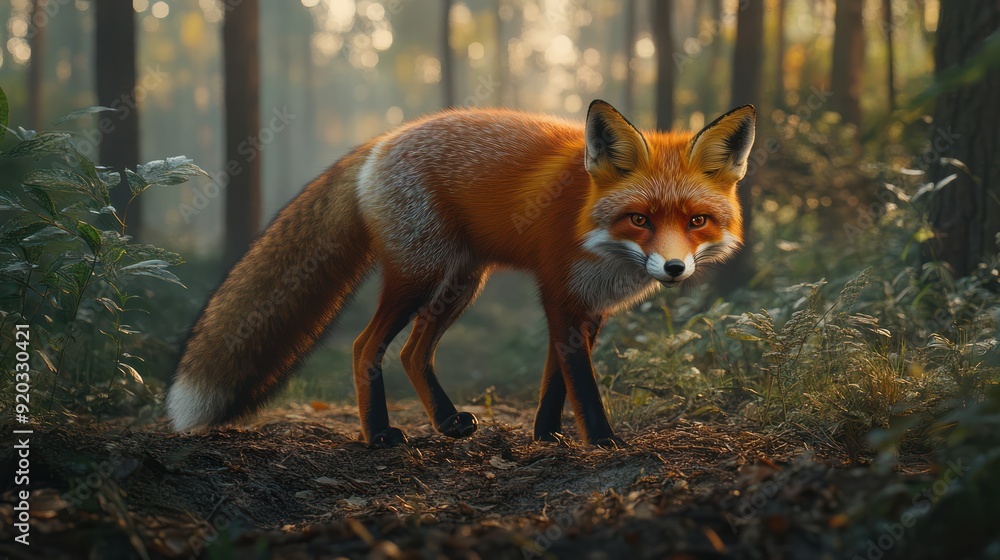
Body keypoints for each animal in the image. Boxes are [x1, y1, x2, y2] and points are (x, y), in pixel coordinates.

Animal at [167, 99, 755, 448]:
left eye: (696, 221)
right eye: (640, 219)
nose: (675, 267)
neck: (592, 228)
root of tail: (381, 142)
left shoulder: (588, 309)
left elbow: (554, 382)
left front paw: (545, 437)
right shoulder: (560, 293)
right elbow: (581, 384)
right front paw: (603, 443)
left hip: (461, 284)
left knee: (412, 352)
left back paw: (447, 422)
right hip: (419, 277)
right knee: (365, 345)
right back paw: (379, 435)